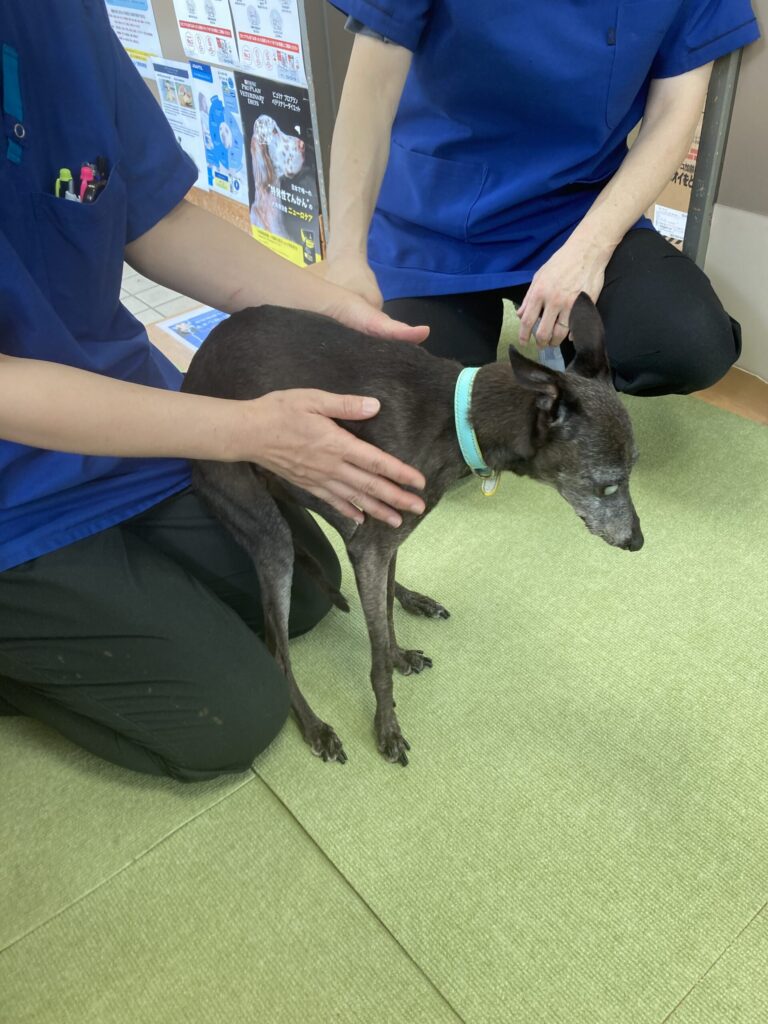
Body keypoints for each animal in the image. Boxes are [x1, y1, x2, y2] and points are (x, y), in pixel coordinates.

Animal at [181, 294, 643, 766]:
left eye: (633, 469)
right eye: (607, 485)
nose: (637, 541)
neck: (458, 421)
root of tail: (192, 376)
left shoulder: (383, 534)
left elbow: (383, 616)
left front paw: (399, 653)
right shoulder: (373, 543)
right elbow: (377, 656)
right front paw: (386, 726)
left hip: (318, 490)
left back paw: (412, 600)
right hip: (268, 526)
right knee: (278, 649)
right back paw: (314, 728)